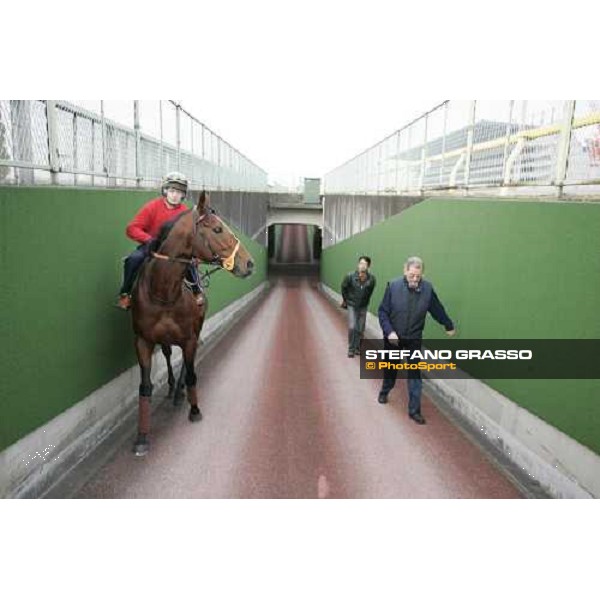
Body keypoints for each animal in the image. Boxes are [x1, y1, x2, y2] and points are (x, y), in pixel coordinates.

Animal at [131, 191, 253, 454]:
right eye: (217, 229)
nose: (249, 263)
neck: (164, 291)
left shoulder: (189, 338)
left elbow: (191, 374)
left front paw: (195, 410)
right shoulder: (143, 340)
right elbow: (144, 386)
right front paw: (142, 437)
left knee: (187, 365)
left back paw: (179, 393)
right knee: (169, 355)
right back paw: (171, 388)